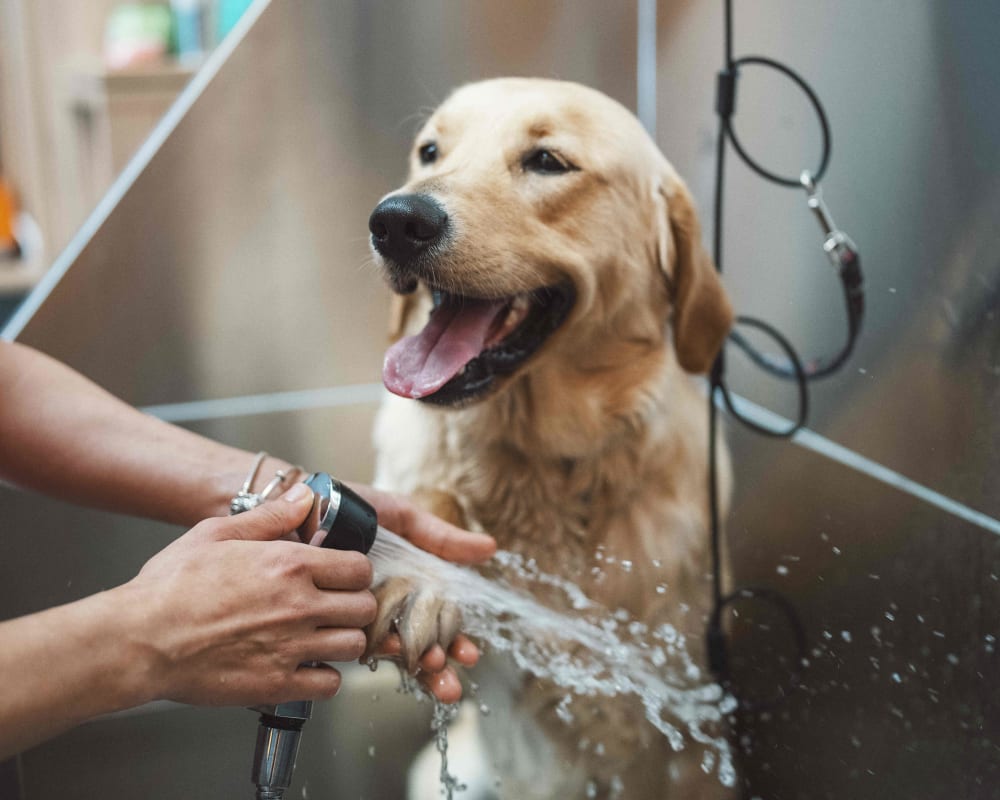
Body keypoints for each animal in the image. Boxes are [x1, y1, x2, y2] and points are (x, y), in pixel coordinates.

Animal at [366, 76, 736, 800]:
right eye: (429, 151)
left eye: (546, 161)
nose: (395, 221)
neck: (540, 461)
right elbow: (429, 500)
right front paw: (424, 576)